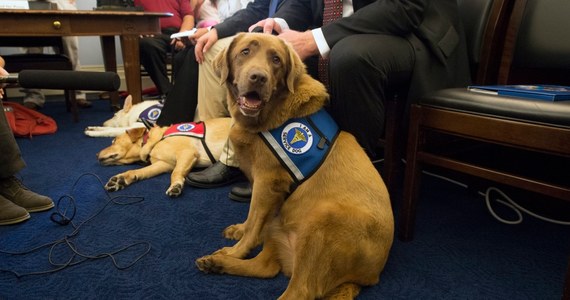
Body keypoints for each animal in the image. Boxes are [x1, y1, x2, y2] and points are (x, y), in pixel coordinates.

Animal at [96, 118, 230, 198]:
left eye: (114, 140)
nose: (96, 155)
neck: (153, 141)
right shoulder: (163, 164)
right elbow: (139, 171)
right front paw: (121, 179)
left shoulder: (187, 153)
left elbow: (175, 173)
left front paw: (175, 185)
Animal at [193, 33, 392, 300]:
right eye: (245, 52)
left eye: (276, 59)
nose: (258, 77)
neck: (269, 115)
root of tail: (368, 277)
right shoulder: (264, 187)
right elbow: (252, 219)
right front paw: (239, 233)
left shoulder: (267, 181)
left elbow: (254, 221)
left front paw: (237, 249)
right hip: (280, 225)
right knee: (264, 267)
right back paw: (216, 263)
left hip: (321, 220)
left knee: (300, 291)